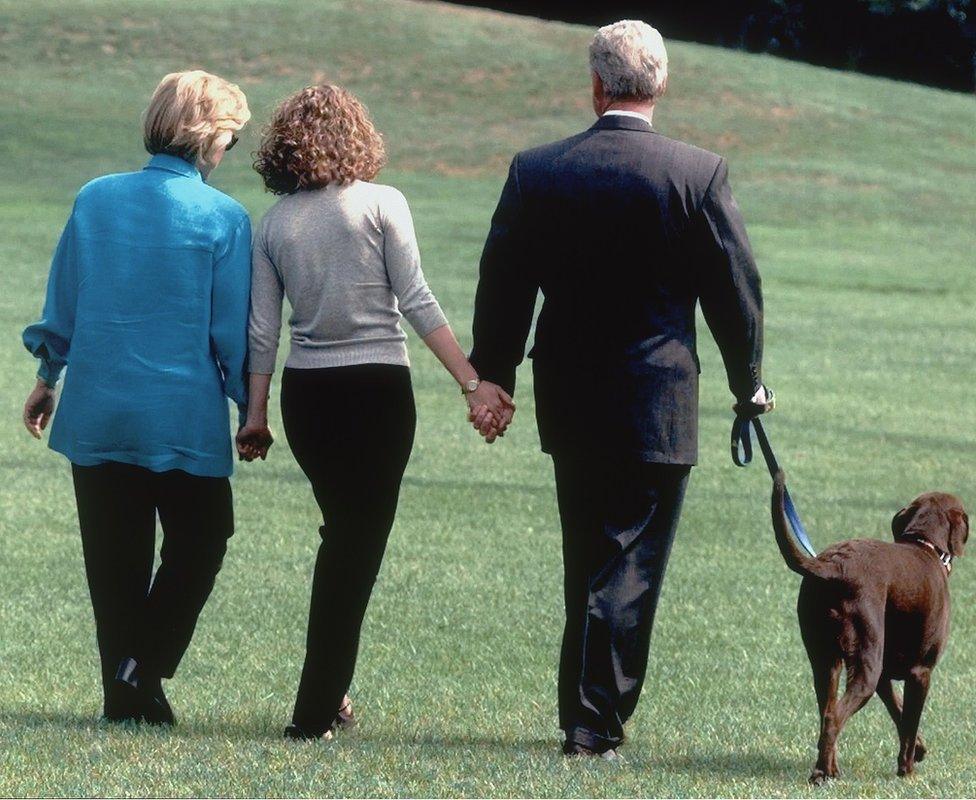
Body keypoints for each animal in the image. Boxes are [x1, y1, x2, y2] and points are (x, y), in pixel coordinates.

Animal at [772, 472, 968, 784]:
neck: (925, 544)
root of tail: (832, 568)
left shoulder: (886, 676)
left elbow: (899, 713)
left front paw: (920, 750)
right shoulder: (921, 672)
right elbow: (909, 724)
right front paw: (907, 769)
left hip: (827, 662)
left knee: (827, 712)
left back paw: (829, 769)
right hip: (867, 663)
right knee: (833, 718)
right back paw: (821, 773)